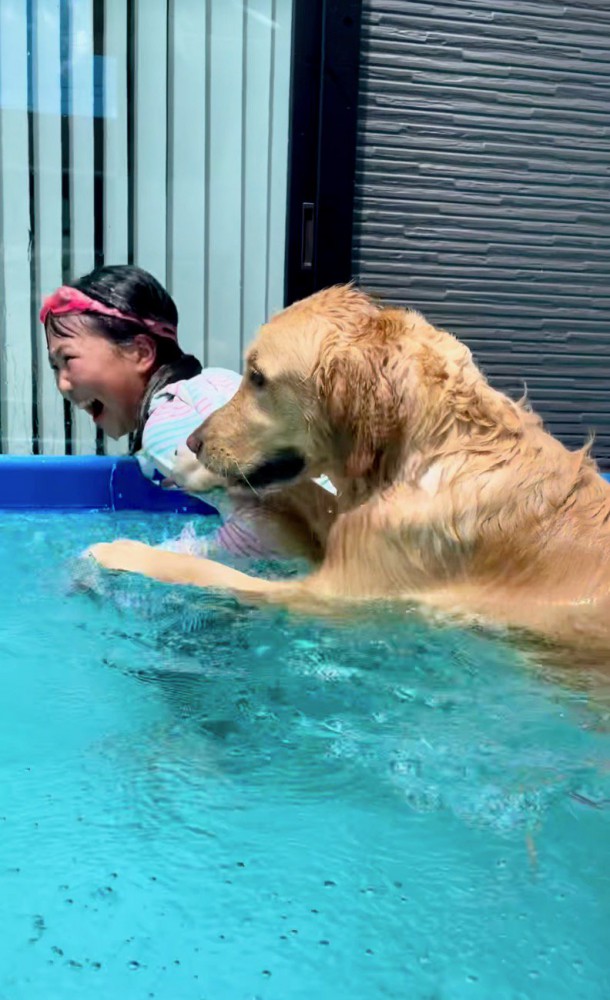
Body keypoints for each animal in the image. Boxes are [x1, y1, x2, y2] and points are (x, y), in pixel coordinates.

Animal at [89, 284, 610, 656]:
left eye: (257, 377)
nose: (196, 441)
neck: (425, 452)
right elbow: (307, 493)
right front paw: (195, 469)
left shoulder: (330, 593)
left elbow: (210, 572)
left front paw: (123, 552)